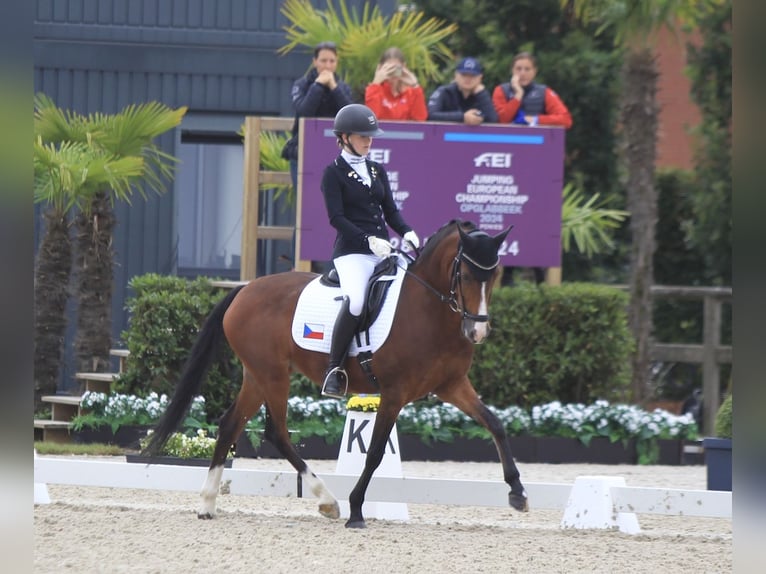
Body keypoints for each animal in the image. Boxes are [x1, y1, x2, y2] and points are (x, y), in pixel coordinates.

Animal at [142, 220, 528, 532]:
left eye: (495, 276)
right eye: (465, 275)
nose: (477, 332)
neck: (429, 310)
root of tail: (246, 288)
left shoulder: (451, 385)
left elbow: (495, 424)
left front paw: (517, 491)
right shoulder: (395, 393)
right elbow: (374, 452)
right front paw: (356, 510)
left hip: (257, 375)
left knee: (230, 424)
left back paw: (208, 503)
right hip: (272, 375)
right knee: (276, 431)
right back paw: (328, 501)